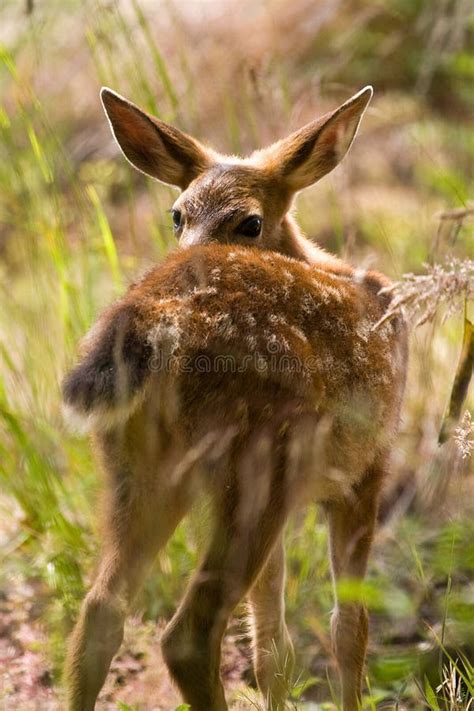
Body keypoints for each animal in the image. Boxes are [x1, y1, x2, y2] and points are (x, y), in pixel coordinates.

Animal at [64, 85, 408, 711]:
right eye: (178, 216)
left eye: (250, 223)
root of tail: (148, 327)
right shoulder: (367, 469)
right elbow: (349, 627)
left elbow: (274, 644)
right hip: (258, 463)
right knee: (187, 636)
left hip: (139, 469)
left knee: (100, 612)